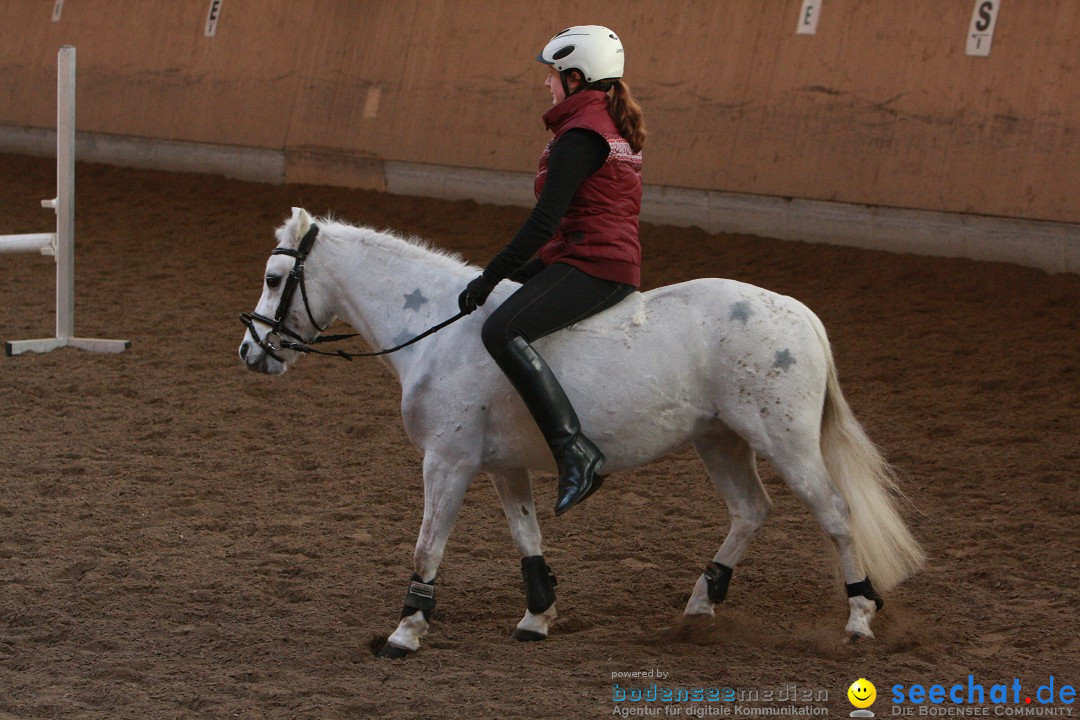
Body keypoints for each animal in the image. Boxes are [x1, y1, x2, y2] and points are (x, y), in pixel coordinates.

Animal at [240, 208, 924, 660]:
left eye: (274, 281)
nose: (251, 353)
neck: (435, 328)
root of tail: (800, 313)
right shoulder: (503, 465)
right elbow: (527, 537)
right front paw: (537, 617)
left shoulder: (447, 461)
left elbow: (427, 546)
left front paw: (405, 632)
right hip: (718, 440)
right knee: (751, 511)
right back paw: (700, 607)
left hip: (784, 440)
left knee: (835, 513)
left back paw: (859, 617)